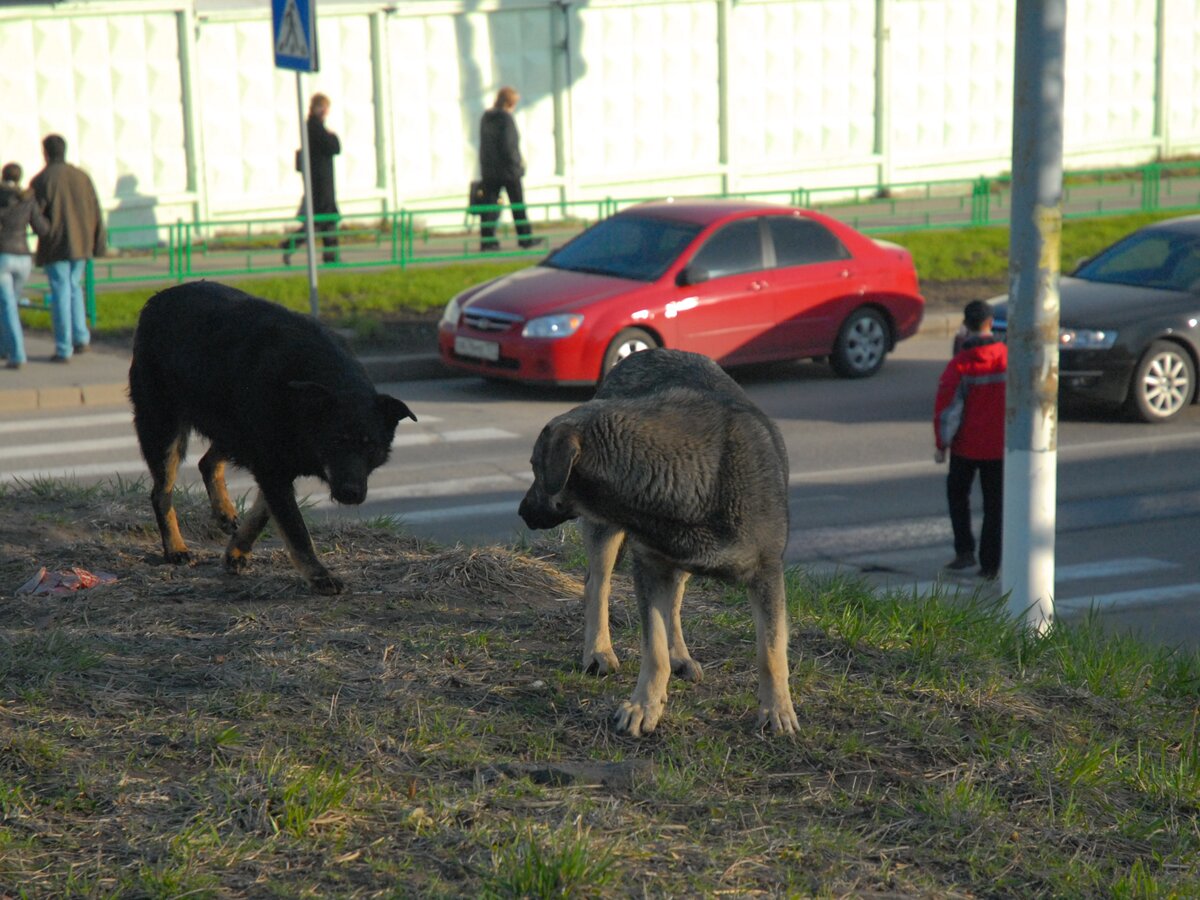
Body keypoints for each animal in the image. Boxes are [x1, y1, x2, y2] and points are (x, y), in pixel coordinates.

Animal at [127, 280, 417, 592]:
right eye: (335, 442)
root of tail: (157, 298)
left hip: (232, 429)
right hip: (164, 430)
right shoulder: (272, 466)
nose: (350, 494)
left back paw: (223, 512)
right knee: (162, 492)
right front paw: (319, 576)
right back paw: (175, 547)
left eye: (370, 447)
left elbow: (263, 514)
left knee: (207, 462)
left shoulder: (274, 463)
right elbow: (296, 529)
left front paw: (237, 550)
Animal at [520, 348, 801, 734]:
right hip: (607, 535)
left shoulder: (766, 573)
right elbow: (653, 646)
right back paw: (598, 651)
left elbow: (770, 651)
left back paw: (679, 655)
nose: (522, 512)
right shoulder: (649, 566)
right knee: (597, 585)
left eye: (535, 466)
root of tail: (645, 352)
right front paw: (645, 706)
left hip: (679, 558)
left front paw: (777, 710)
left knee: (675, 600)